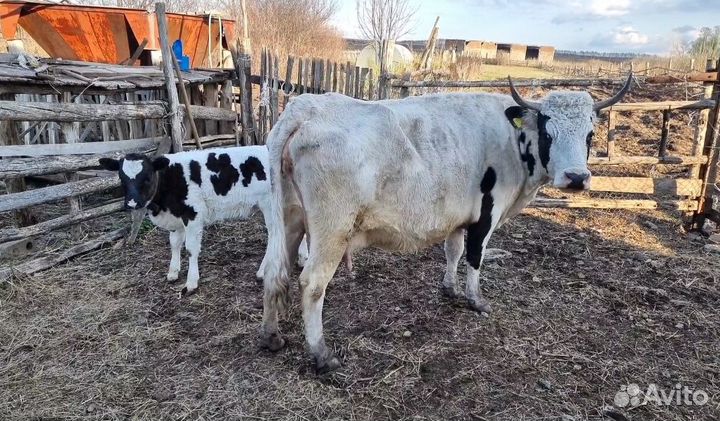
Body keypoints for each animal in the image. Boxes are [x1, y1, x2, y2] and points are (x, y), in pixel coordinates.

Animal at [99, 146, 308, 296]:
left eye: (148, 176)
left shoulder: (193, 215)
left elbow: (191, 249)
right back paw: (302, 259)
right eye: (122, 178)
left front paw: (191, 282)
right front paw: (173, 272)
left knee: (275, 234)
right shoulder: (176, 218)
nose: (132, 203)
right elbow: (174, 244)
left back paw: (263, 271)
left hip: (271, 205)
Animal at [259, 73, 633, 372]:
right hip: (331, 230)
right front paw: (475, 299)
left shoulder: (458, 216)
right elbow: (475, 256)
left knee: (275, 272)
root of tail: (305, 107)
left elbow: (453, 251)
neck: (512, 140)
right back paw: (321, 354)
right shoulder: (487, 212)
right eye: (547, 131)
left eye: (590, 134)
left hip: (289, 221)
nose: (576, 178)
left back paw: (271, 336)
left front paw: (450, 288)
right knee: (312, 284)